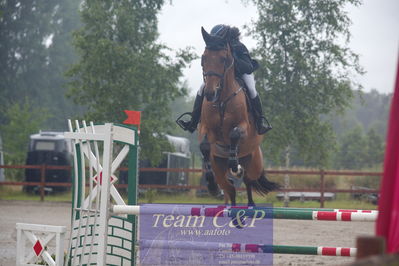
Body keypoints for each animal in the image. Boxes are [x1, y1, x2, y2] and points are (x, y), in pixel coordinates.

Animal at [198, 26, 280, 206]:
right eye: (203, 58)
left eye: (223, 59)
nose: (209, 93)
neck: (222, 100)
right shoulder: (205, 128)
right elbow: (205, 146)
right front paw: (211, 185)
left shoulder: (243, 126)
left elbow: (234, 134)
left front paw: (235, 165)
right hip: (219, 166)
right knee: (230, 188)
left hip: (254, 163)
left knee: (249, 180)